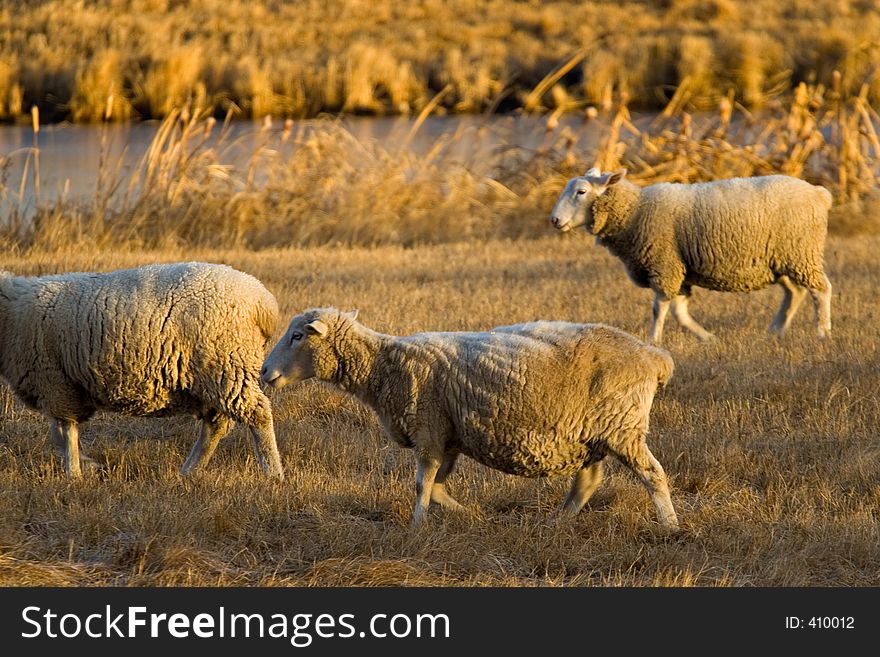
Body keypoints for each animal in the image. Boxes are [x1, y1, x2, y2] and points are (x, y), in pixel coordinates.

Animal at [0, 258, 282, 480]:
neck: (10, 313)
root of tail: (263, 302)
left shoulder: (55, 383)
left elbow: (63, 435)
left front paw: (77, 473)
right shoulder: (60, 386)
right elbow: (61, 435)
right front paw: (86, 468)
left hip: (226, 366)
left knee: (257, 415)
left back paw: (273, 472)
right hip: (216, 374)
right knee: (215, 426)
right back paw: (189, 471)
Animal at [258, 308, 676, 528]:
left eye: (297, 336)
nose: (264, 372)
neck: (383, 365)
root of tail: (654, 357)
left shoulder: (427, 429)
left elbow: (422, 485)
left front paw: (416, 527)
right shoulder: (448, 436)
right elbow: (437, 488)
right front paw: (470, 515)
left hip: (622, 425)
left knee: (653, 474)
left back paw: (670, 524)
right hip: (590, 436)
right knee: (587, 482)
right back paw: (555, 522)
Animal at [552, 168, 832, 344]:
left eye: (581, 192)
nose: (554, 220)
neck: (634, 211)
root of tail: (820, 193)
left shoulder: (665, 265)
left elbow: (659, 308)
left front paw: (653, 339)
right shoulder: (679, 269)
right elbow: (680, 312)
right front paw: (708, 338)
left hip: (802, 252)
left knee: (821, 290)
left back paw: (822, 332)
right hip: (781, 260)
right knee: (794, 293)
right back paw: (775, 331)